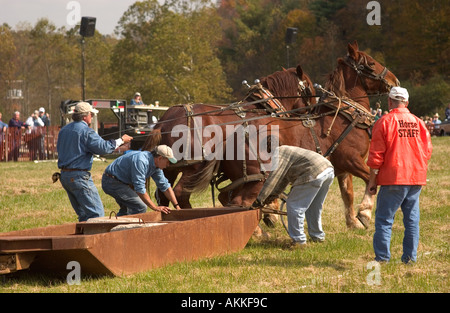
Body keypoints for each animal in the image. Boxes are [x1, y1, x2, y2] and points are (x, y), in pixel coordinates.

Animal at [142, 63, 314, 207]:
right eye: (310, 90)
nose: (312, 113)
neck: (260, 107)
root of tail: (164, 122)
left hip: (168, 168)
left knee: (164, 195)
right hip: (194, 168)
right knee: (180, 194)